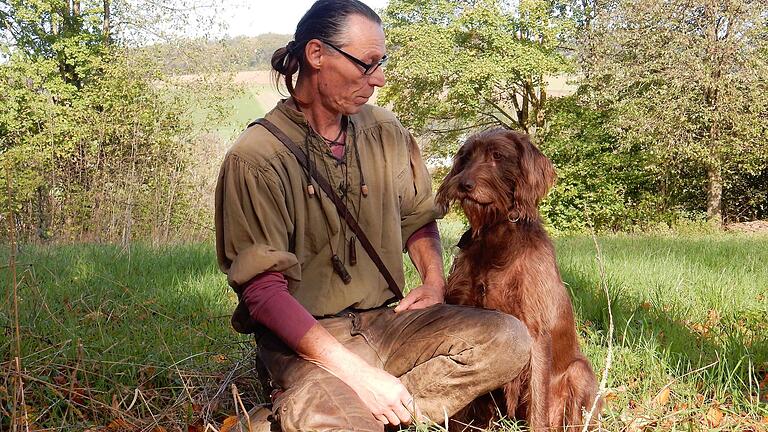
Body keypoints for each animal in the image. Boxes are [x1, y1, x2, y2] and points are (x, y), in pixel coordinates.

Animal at [438, 128, 600, 432]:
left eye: (497, 156)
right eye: (466, 157)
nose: (462, 184)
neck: (496, 239)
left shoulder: (535, 333)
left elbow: (537, 400)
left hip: (579, 372)